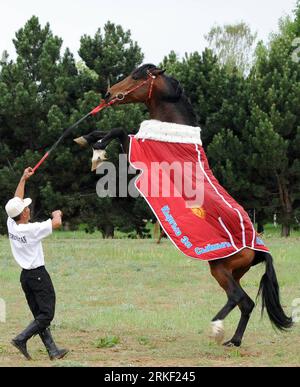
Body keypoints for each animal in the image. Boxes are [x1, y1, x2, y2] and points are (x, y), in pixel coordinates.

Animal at [75, 63, 292, 348]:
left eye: (136, 76)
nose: (109, 93)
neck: (173, 132)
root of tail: (258, 248)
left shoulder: (136, 150)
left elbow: (118, 130)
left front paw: (98, 150)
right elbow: (107, 130)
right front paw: (86, 138)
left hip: (220, 268)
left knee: (238, 298)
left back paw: (216, 328)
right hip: (233, 272)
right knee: (246, 303)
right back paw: (233, 340)